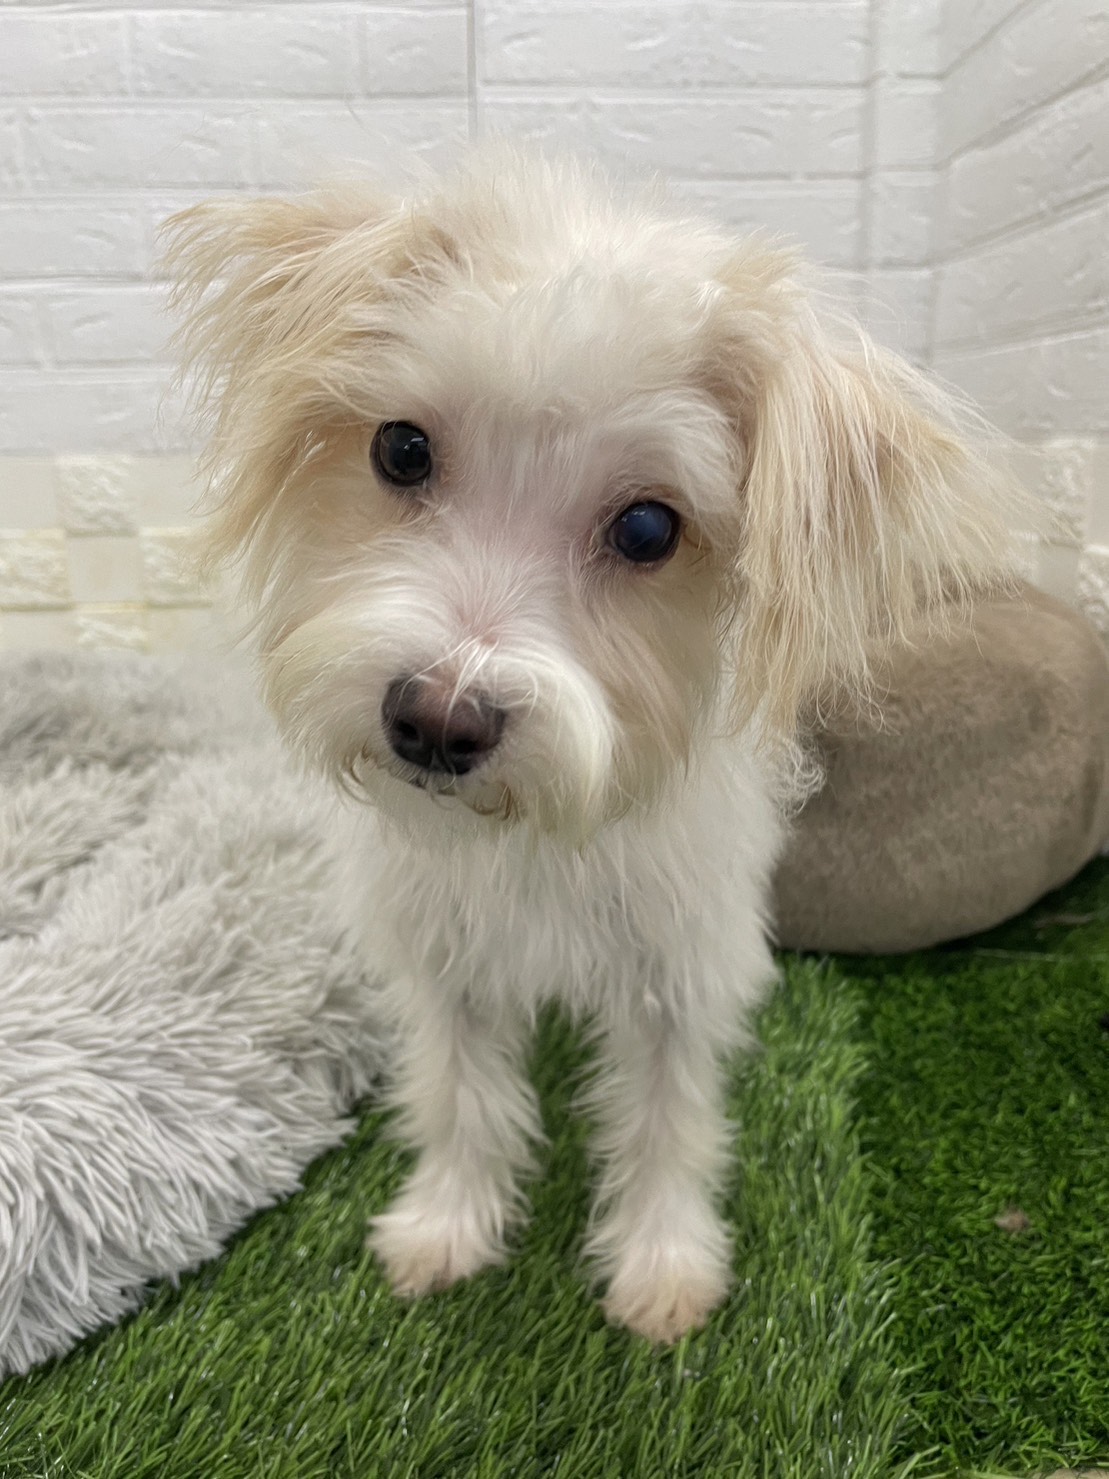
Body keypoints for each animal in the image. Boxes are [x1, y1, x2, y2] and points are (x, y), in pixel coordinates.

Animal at [164, 150, 1023, 1343]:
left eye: (649, 528)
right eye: (400, 448)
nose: (436, 720)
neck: (530, 840)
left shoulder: (679, 960)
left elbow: (667, 1116)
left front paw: (661, 1269)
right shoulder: (443, 958)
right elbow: (460, 1097)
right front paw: (446, 1227)